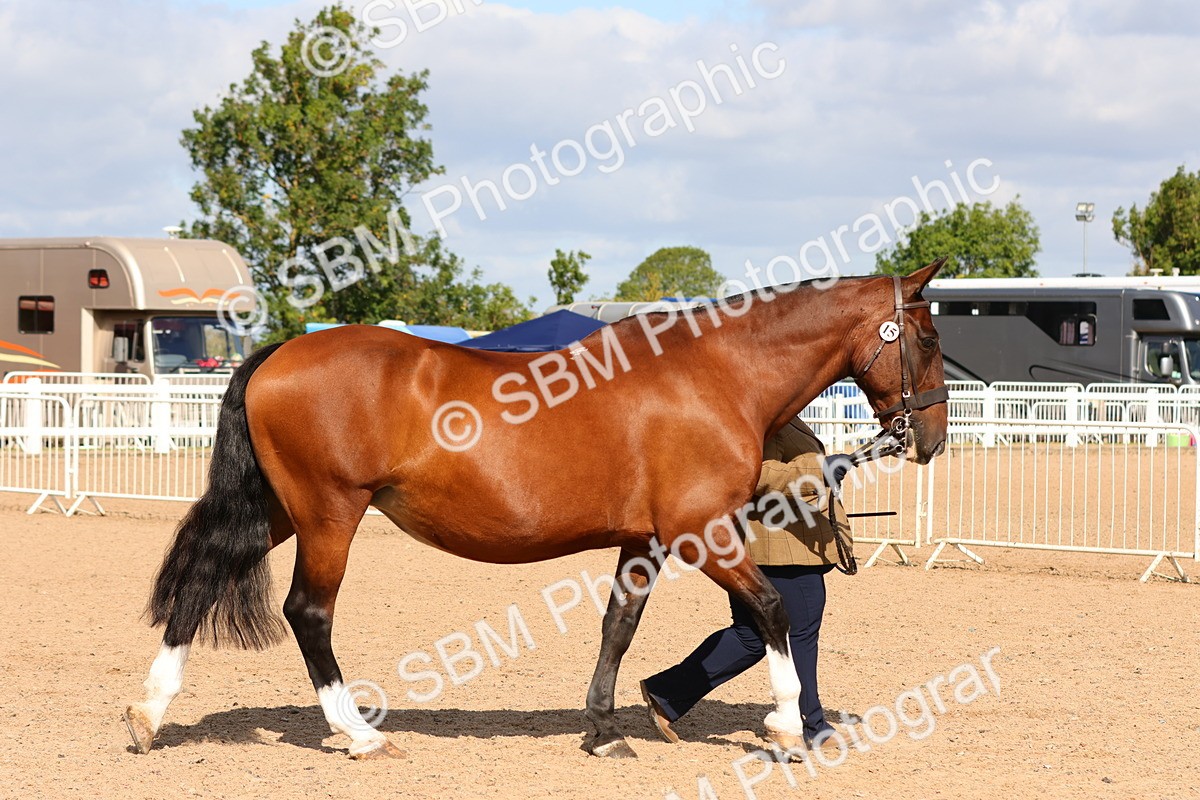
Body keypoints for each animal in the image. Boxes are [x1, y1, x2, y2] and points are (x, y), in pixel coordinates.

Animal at [124, 258, 949, 760]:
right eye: (928, 334)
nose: (933, 435)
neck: (714, 376)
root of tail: (277, 353)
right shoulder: (702, 533)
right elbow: (773, 610)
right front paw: (785, 726)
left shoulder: (645, 542)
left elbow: (619, 627)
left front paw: (604, 729)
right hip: (330, 514)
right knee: (308, 613)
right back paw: (358, 732)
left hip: (280, 509)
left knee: (203, 579)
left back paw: (149, 714)